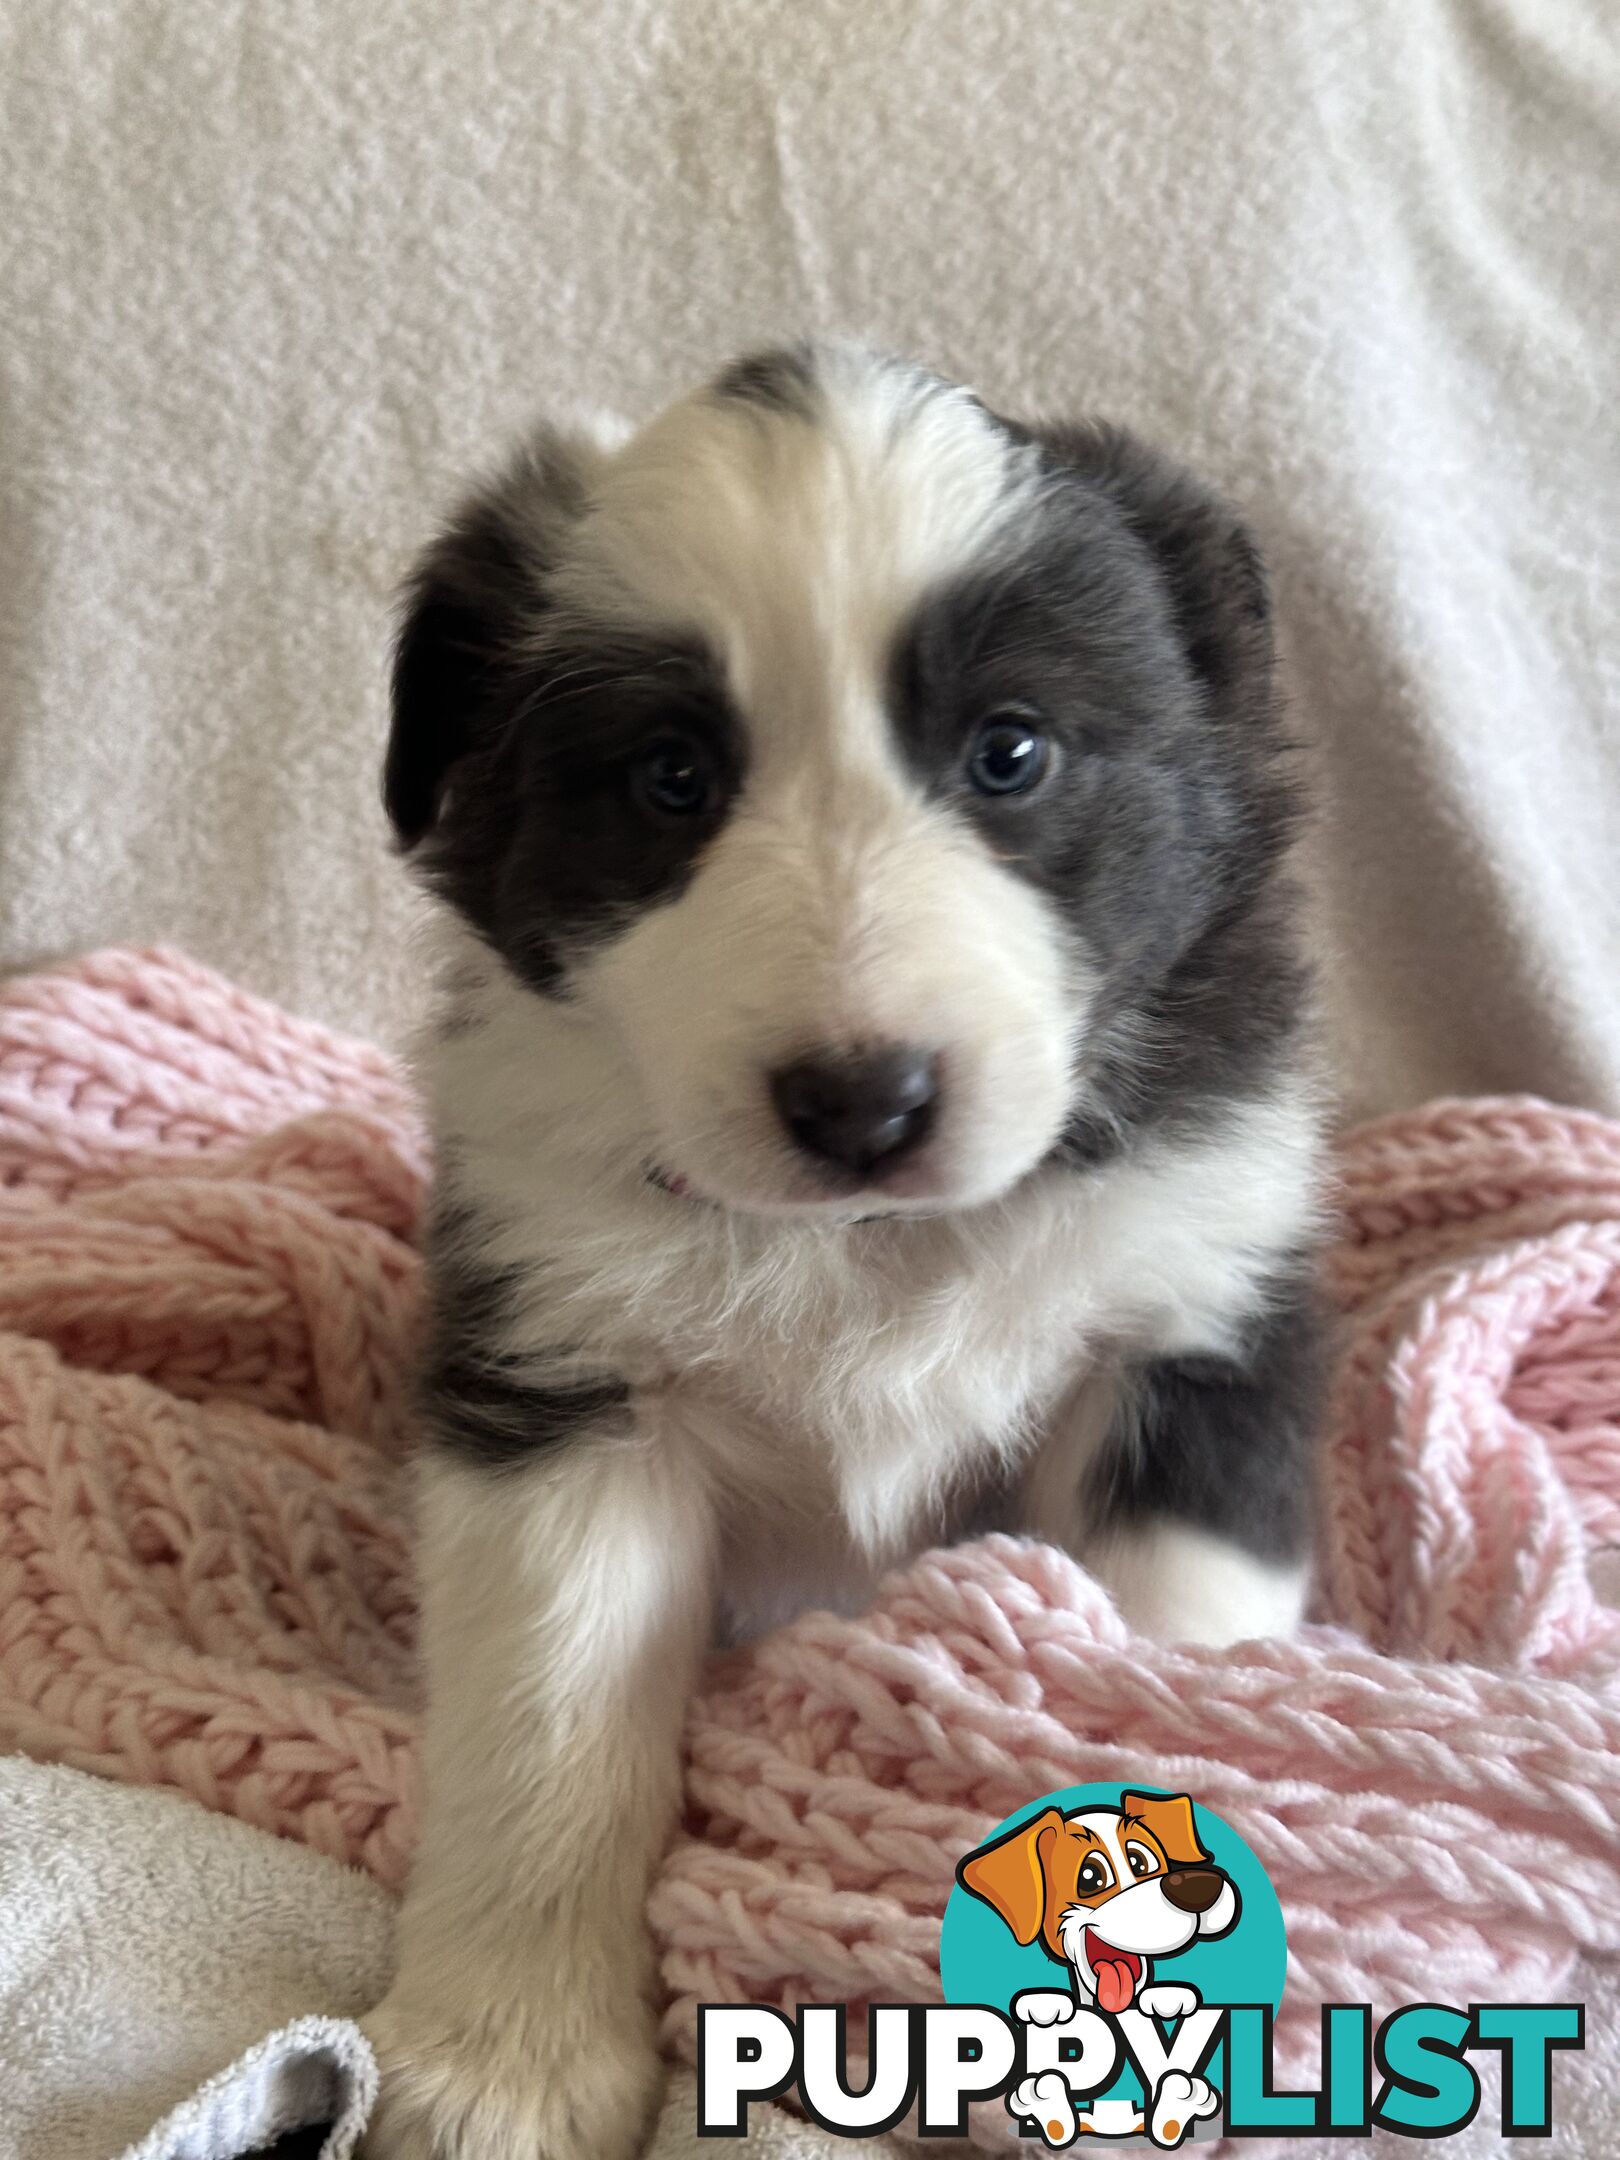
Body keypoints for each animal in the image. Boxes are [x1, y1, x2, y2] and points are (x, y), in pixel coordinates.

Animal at [367, 345, 1330, 2151]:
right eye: (673, 778)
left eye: (1011, 752)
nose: (862, 1104)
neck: (876, 1241)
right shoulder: (567, 1389)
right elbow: (548, 1740)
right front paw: (506, 2060)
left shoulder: (1194, 1320)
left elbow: (1165, 1663)